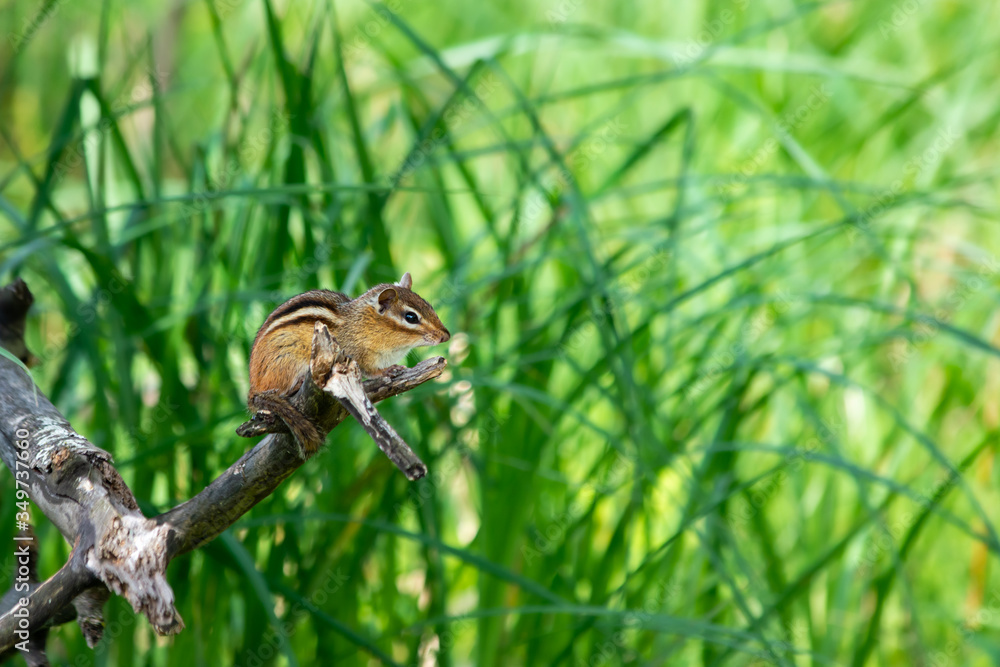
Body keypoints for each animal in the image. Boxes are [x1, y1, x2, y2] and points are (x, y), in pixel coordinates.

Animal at [246, 272, 451, 454]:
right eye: (411, 317)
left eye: (429, 306)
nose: (446, 336)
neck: (367, 322)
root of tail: (253, 388)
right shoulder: (358, 354)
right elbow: (371, 371)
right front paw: (388, 371)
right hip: (286, 361)